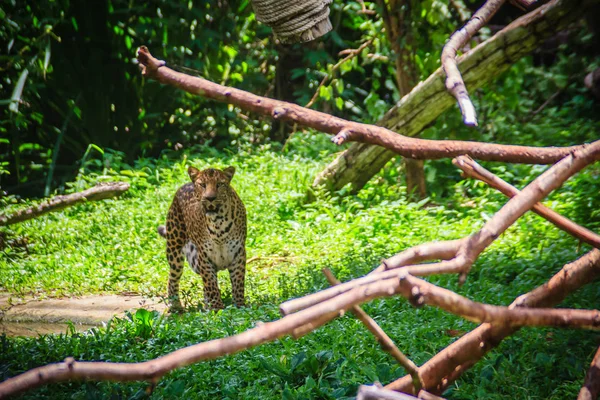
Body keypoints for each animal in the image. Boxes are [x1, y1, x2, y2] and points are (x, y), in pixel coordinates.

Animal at [158, 164, 247, 310]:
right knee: (173, 278)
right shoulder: (204, 256)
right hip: (174, 250)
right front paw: (217, 309)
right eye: (203, 185)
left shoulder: (238, 253)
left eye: (219, 184)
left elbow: (238, 283)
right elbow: (211, 285)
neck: (218, 223)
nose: (210, 198)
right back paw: (175, 305)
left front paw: (240, 306)